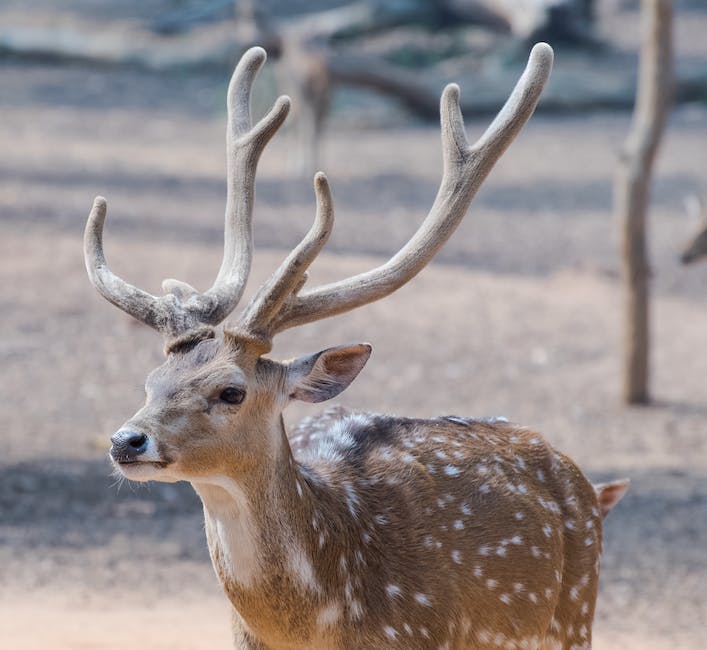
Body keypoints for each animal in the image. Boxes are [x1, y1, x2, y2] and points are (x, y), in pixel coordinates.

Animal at [84, 45, 632, 648]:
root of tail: (584, 482)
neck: (312, 624)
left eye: (231, 391)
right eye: (151, 382)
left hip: (575, 613)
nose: (126, 440)